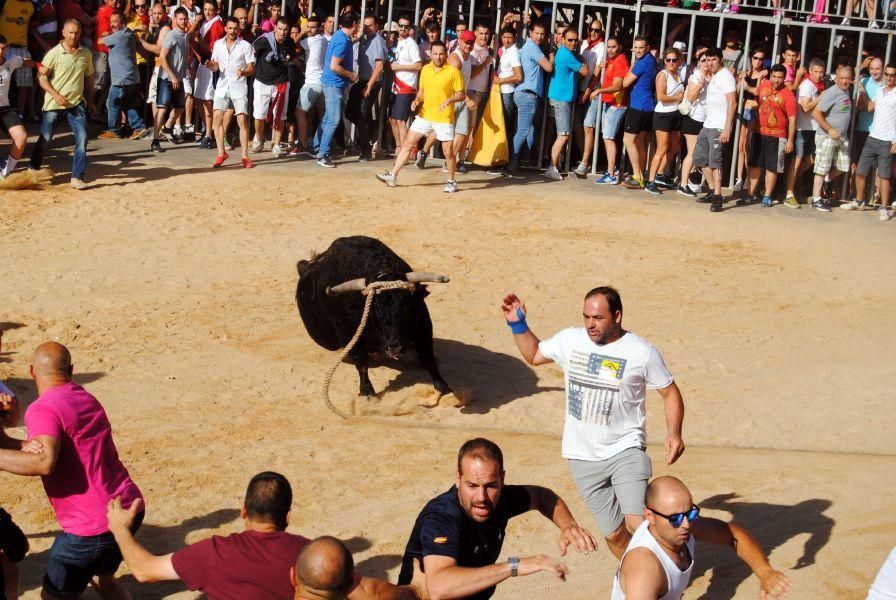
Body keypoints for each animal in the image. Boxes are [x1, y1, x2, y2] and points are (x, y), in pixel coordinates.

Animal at [296, 236, 452, 398]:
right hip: (326, 340)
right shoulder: (349, 334)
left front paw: (443, 387)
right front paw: (367, 392)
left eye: (407, 307)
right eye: (375, 311)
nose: (395, 348)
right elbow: (361, 361)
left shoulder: (423, 325)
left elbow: (428, 358)